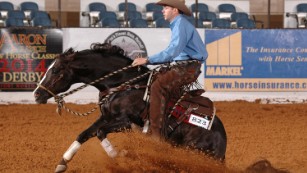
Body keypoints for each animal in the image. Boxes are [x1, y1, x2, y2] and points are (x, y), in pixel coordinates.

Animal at [33, 42, 227, 172]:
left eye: (56, 70)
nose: (36, 94)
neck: (122, 84)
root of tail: (222, 140)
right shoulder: (106, 117)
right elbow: (84, 134)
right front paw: (62, 162)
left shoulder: (127, 123)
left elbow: (100, 133)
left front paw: (122, 155)